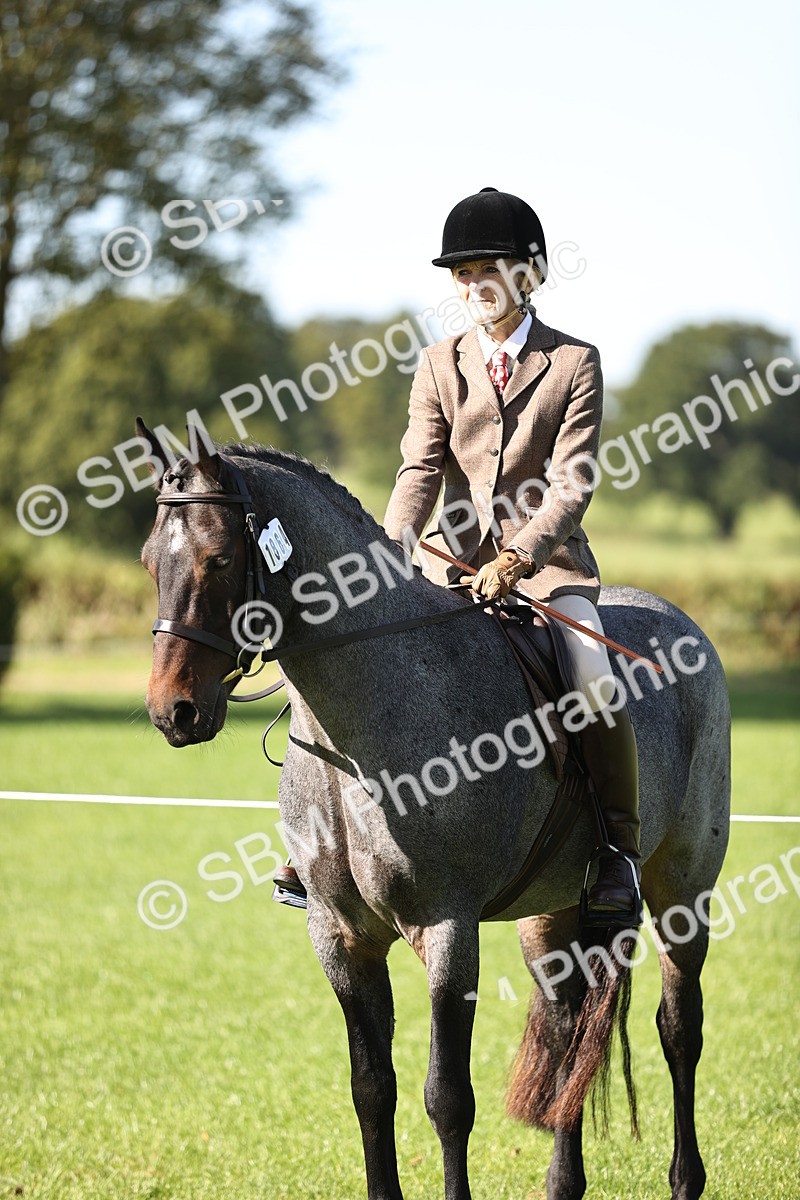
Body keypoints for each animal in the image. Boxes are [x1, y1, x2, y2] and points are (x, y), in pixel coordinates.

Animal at [137, 421, 731, 1200]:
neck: (358, 734)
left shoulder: (448, 930)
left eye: (220, 557)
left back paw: (685, 1177)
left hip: (681, 890)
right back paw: (563, 1182)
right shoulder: (341, 938)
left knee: (680, 1028)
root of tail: (685, 623)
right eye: (150, 560)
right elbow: (371, 1088)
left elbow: (446, 1098)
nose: (172, 711)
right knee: (569, 1029)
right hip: (552, 915)